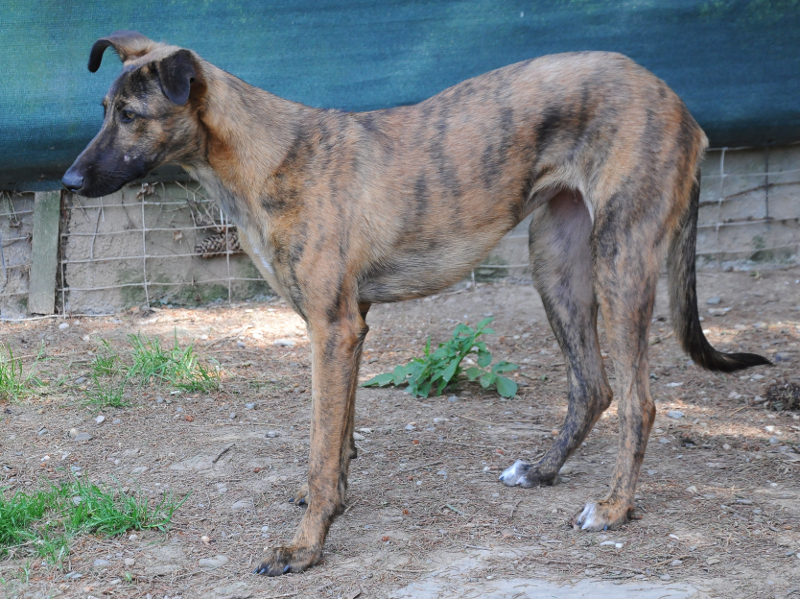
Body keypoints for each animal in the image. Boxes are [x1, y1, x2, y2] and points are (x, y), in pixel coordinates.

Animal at [62, 31, 769, 576]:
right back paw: (541, 472)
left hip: (620, 258)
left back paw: (615, 509)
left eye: (132, 115)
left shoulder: (333, 328)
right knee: (593, 386)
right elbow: (340, 440)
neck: (265, 155)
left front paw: (304, 548)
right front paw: (333, 505)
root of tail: (677, 101)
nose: (68, 180)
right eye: (103, 108)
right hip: (556, 259)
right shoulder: (350, 326)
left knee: (640, 402)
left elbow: (321, 450)